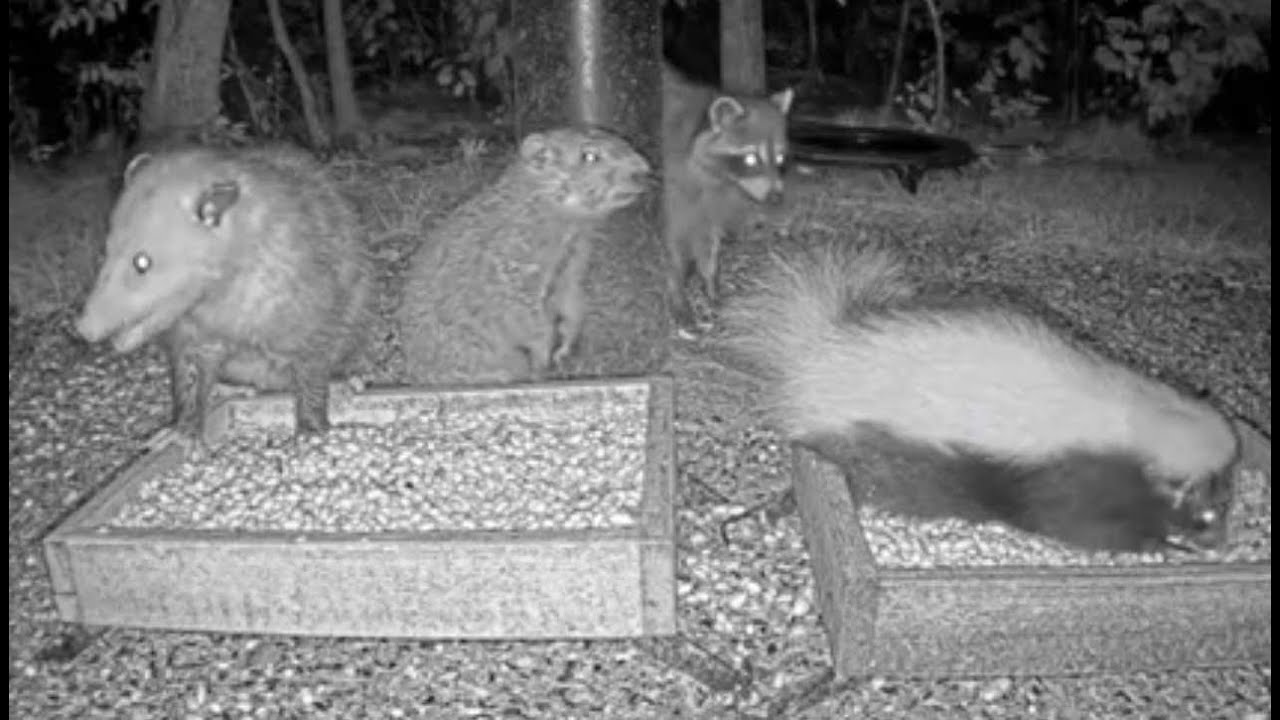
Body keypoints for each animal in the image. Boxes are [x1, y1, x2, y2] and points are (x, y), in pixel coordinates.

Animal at [661, 63, 794, 333]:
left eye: (779, 158)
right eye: (751, 159)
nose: (776, 197)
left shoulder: (707, 202)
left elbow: (706, 239)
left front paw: (710, 281)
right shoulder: (674, 191)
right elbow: (673, 245)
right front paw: (677, 290)